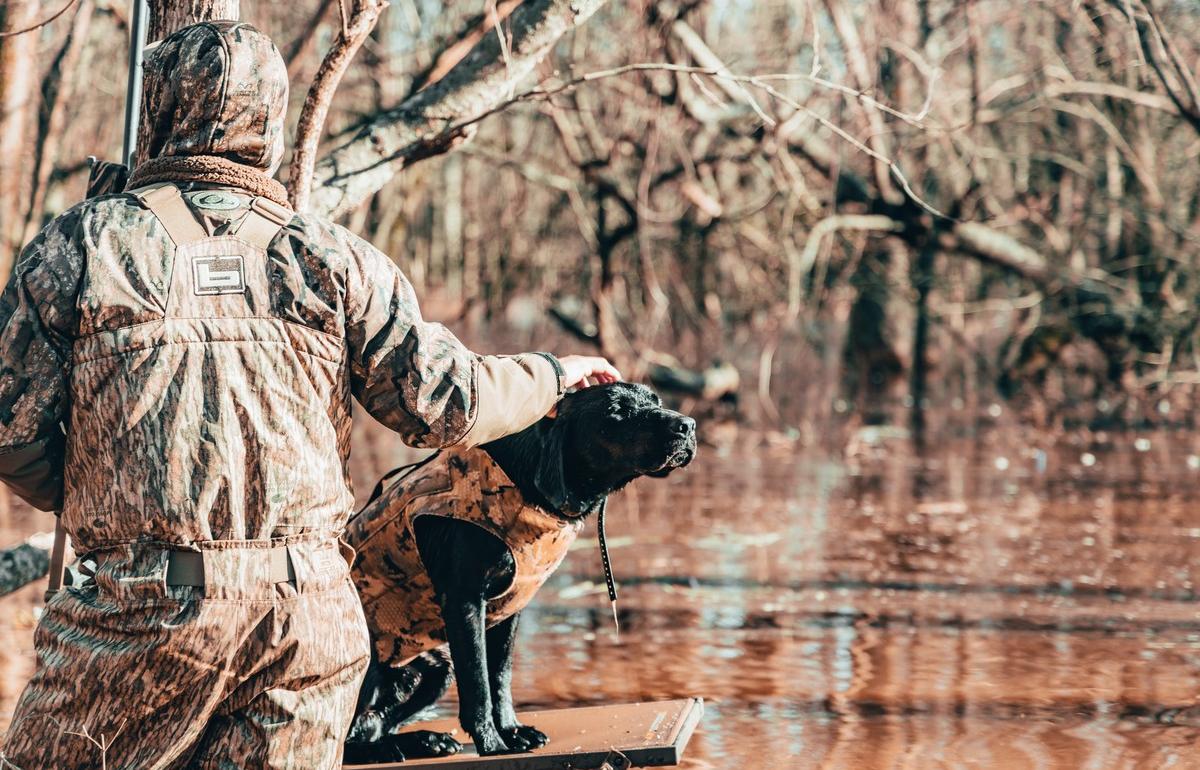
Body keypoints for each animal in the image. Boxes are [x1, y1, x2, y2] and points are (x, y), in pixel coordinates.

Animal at [340, 381, 696, 758]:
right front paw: (491, 743)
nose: (687, 426)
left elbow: (500, 675)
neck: (526, 483)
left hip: (435, 668)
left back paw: (424, 740)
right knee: (345, 737)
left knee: (374, 724)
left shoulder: (511, 605)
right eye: (617, 411)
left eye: (656, 400)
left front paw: (512, 730)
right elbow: (478, 681)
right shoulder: (464, 599)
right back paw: (393, 748)